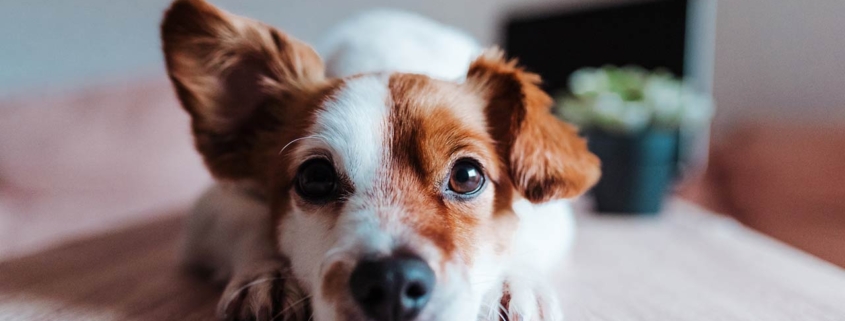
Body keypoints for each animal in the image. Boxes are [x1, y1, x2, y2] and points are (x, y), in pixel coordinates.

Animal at [160, 1, 600, 318]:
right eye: (315, 177)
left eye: (467, 175)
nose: (391, 283)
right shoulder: (213, 205)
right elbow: (249, 222)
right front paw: (268, 275)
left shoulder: (552, 213)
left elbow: (521, 233)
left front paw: (512, 283)